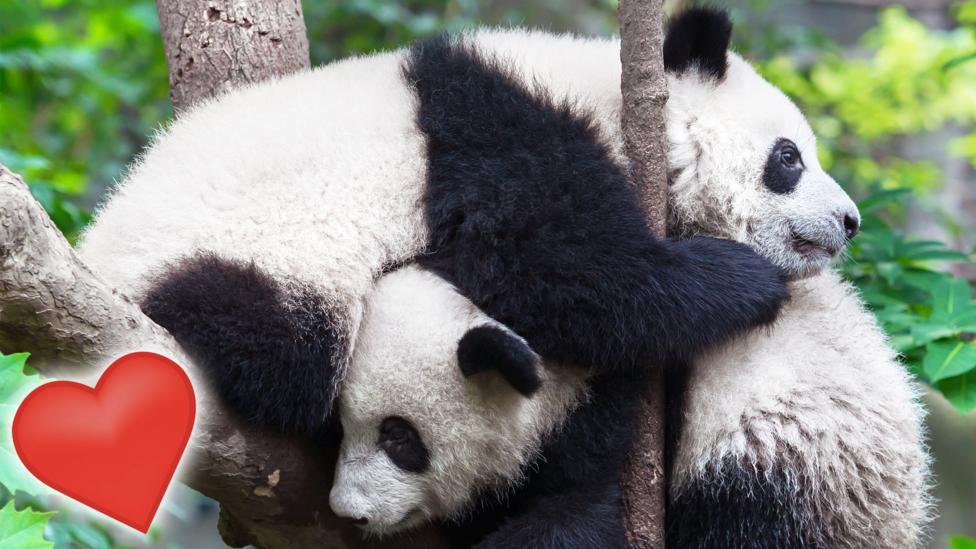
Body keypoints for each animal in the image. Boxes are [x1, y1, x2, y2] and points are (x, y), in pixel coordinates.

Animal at [82, 11, 784, 436]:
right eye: (789, 160)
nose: (826, 229)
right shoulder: (505, 136)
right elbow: (555, 272)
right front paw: (744, 279)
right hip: (250, 260)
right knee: (276, 348)